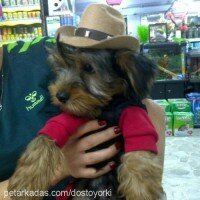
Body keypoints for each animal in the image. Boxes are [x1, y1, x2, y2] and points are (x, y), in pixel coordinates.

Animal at [8, 39, 164, 199]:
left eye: (88, 68)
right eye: (61, 66)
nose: (60, 96)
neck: (106, 107)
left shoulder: (133, 113)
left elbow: (140, 152)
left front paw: (141, 192)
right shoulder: (76, 114)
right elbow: (45, 138)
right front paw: (25, 182)